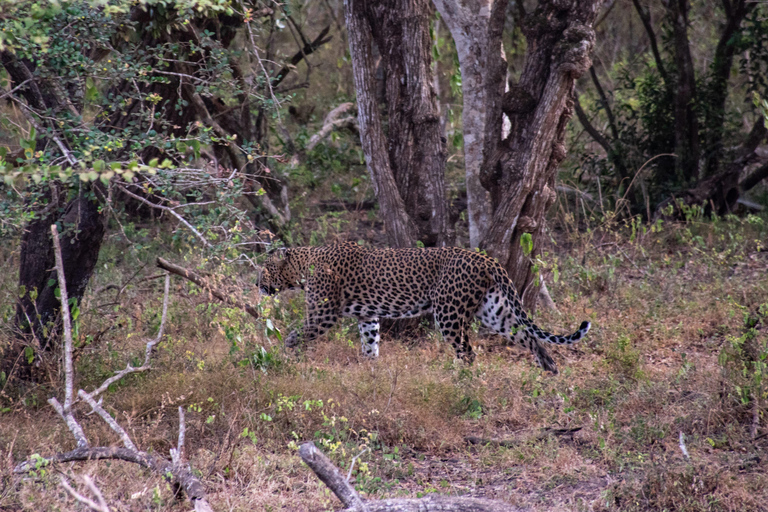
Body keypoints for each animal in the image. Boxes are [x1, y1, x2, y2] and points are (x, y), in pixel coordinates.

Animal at [260, 242, 592, 374]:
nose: (255, 283)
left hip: (448, 313)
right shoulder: (368, 316)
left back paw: (459, 380)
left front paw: (285, 352)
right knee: (529, 337)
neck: (302, 265)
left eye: (264, 268)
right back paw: (550, 370)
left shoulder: (323, 314)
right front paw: (370, 368)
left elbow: (298, 333)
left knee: (468, 352)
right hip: (494, 311)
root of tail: (486, 259)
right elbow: (370, 343)